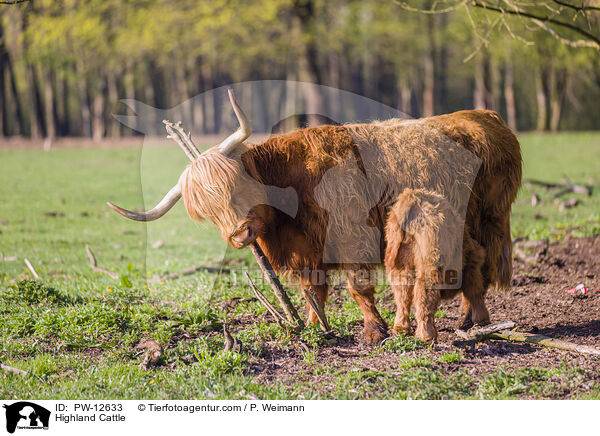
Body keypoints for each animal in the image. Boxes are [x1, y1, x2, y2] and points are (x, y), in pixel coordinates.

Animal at [109, 90, 520, 344]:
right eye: (207, 214)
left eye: (236, 189)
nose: (240, 234)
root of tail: (483, 115)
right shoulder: (307, 251)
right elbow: (313, 290)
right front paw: (311, 326)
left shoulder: (352, 236)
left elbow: (357, 288)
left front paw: (375, 331)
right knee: (472, 263)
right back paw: (469, 318)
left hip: (490, 218)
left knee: (480, 266)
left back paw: (474, 318)